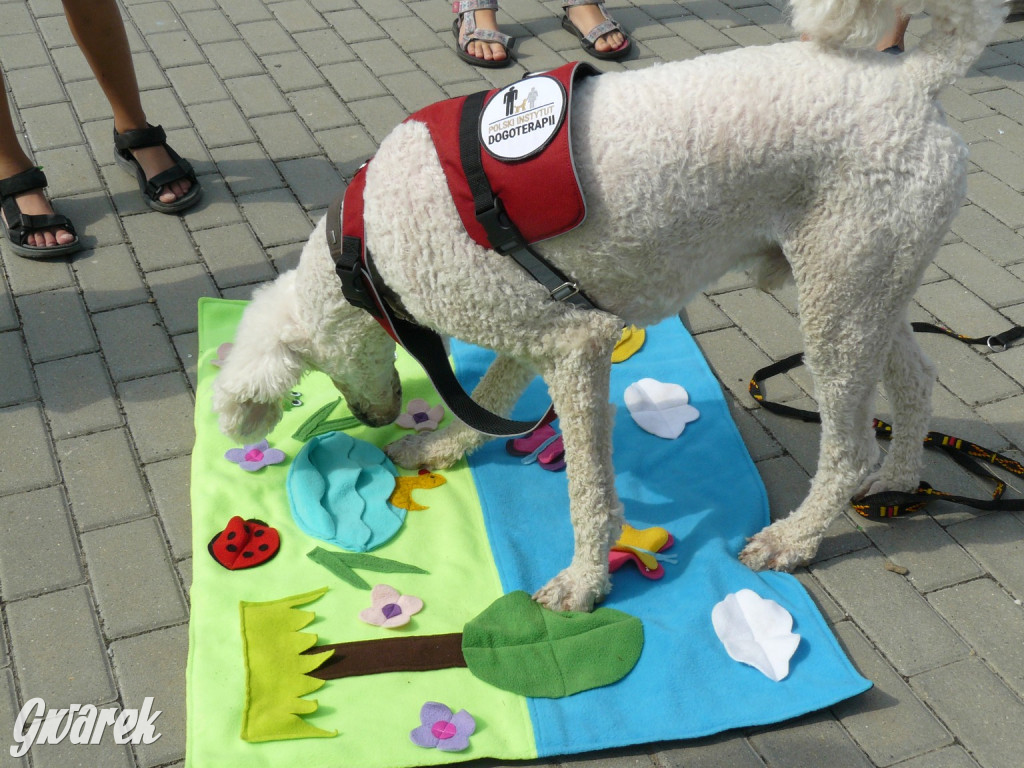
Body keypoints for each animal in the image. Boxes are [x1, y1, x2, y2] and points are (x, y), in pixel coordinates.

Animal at [216, 0, 1007, 614]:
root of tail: (917, 76)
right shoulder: (529, 320)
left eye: (314, 379)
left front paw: (585, 581)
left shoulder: (578, 345)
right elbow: (488, 396)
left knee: (847, 447)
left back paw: (796, 536)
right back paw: (900, 478)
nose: (371, 417)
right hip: (869, 277)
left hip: (841, 292)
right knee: (916, 379)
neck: (366, 244)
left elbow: (588, 491)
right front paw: (441, 446)